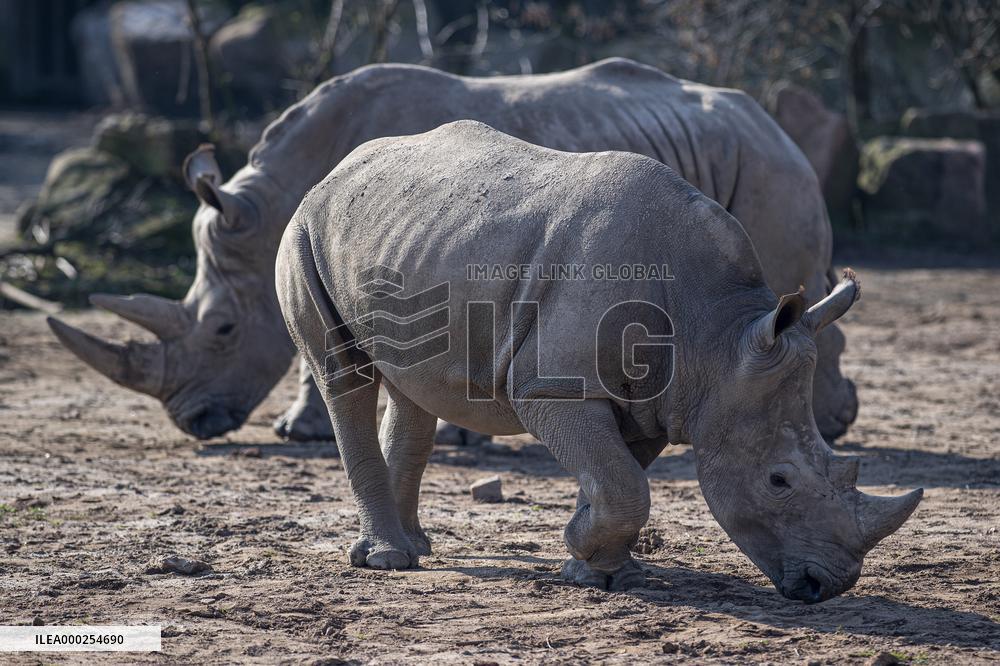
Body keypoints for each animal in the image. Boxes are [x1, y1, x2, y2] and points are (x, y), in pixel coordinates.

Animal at [47, 58, 857, 442]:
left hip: (767, 167)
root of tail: (766, 118)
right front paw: (298, 428)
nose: (190, 422)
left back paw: (821, 429)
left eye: (220, 329)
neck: (275, 202)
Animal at [275, 120, 920, 602]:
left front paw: (602, 570)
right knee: (345, 376)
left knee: (413, 386)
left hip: (409, 237)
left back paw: (417, 547)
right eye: (778, 480)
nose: (828, 586)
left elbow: (621, 475)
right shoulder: (555, 387)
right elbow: (624, 482)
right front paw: (586, 552)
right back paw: (387, 561)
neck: (715, 335)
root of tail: (335, 172)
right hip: (304, 229)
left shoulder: (660, 397)